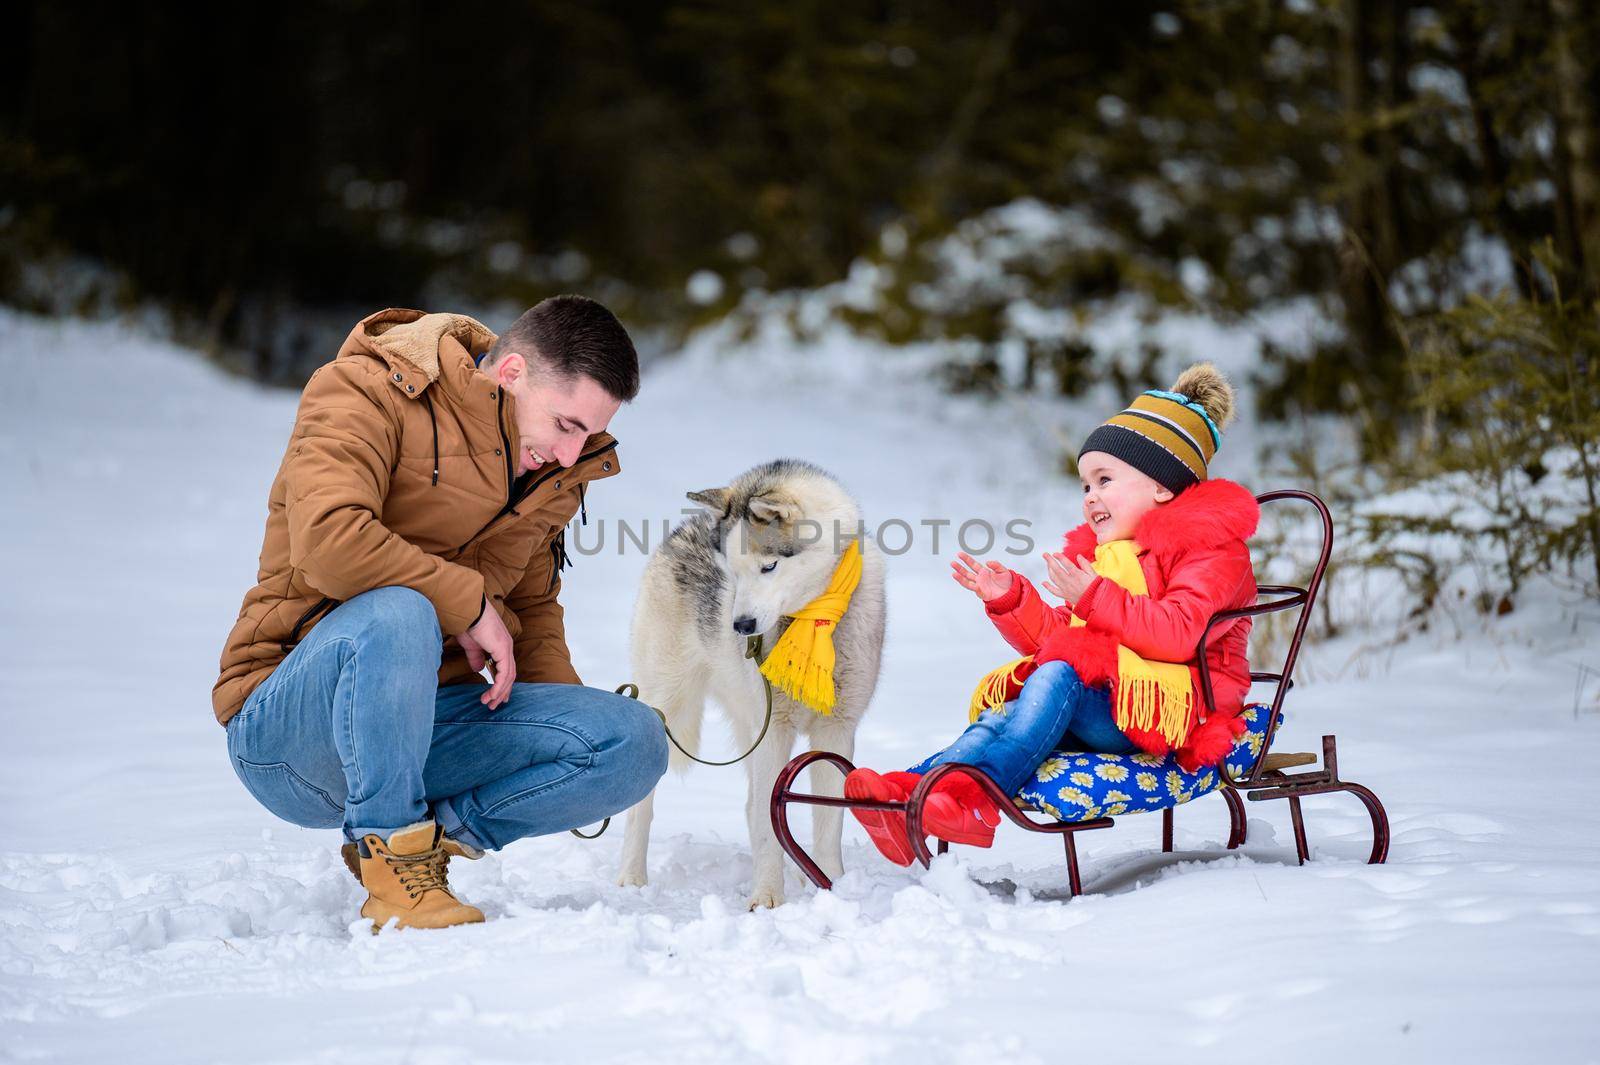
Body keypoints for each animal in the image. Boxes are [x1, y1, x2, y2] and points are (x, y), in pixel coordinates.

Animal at [614, 457, 889, 901]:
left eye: (769, 566)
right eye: (733, 573)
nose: (740, 626)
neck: (813, 622)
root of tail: (684, 527)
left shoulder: (835, 729)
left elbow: (828, 821)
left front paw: (833, 888)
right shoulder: (775, 731)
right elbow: (768, 823)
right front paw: (767, 898)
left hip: (749, 725)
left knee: (750, 804)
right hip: (668, 705)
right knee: (644, 805)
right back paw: (631, 878)